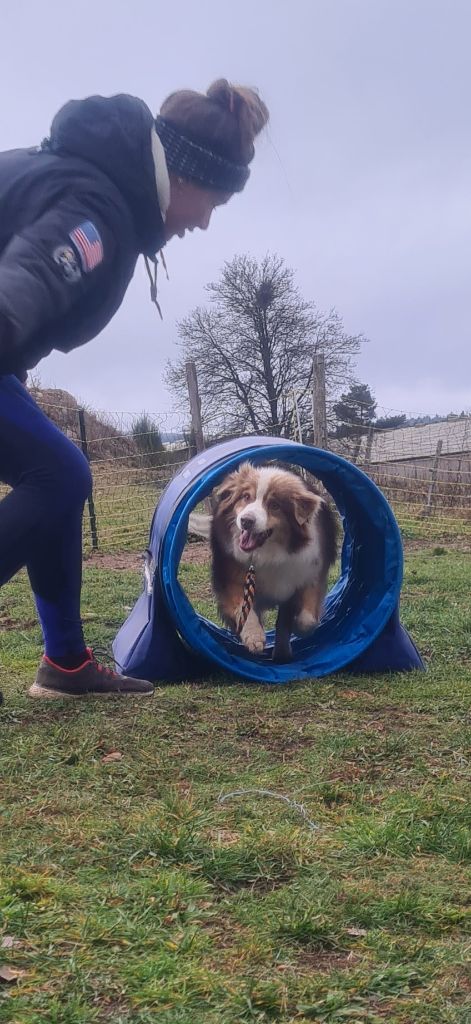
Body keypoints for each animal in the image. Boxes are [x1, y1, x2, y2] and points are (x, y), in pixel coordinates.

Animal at [189, 462, 338, 661]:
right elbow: (243, 609)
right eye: (245, 497)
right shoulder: (230, 577)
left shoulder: (307, 574)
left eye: (274, 505)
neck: (267, 554)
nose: (246, 521)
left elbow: (305, 619)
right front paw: (254, 637)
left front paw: (298, 630)